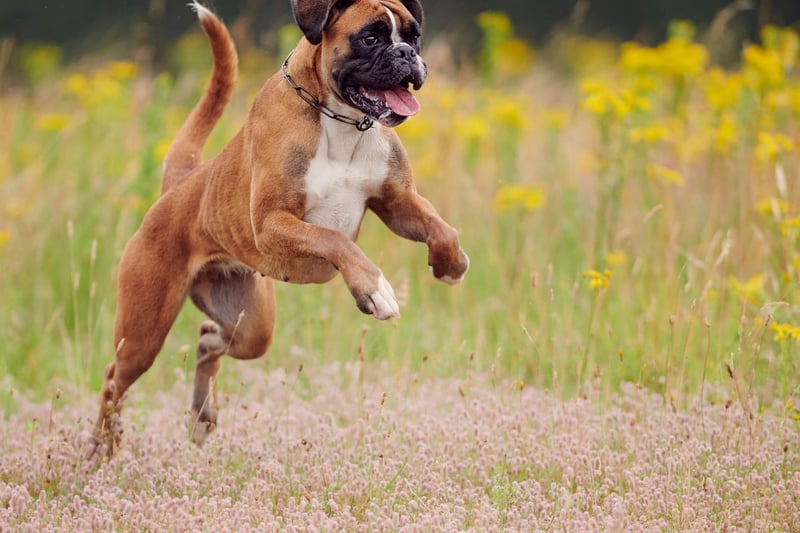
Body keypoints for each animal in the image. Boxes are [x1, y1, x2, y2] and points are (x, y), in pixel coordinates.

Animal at [87, 0, 468, 458]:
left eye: (414, 37)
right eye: (371, 38)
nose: (408, 54)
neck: (340, 119)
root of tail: (180, 186)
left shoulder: (395, 202)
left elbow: (440, 227)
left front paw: (450, 263)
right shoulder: (273, 223)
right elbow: (334, 240)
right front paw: (374, 290)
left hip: (252, 325)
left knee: (208, 340)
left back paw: (201, 416)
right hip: (143, 333)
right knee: (114, 379)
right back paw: (101, 448)